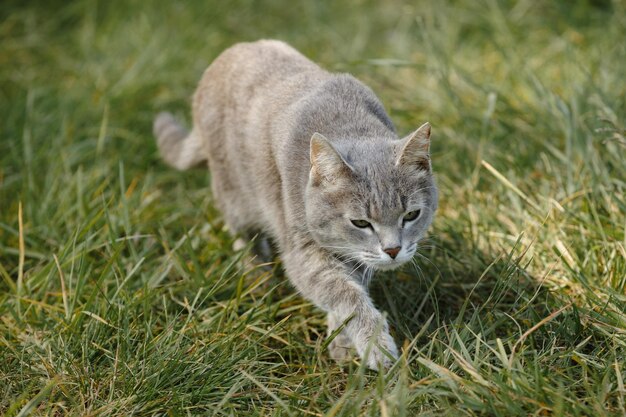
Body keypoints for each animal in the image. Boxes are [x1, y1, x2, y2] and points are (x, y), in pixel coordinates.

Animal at [154, 39, 436, 370]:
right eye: (361, 223)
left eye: (412, 215)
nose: (393, 250)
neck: (349, 125)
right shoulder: (302, 249)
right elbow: (344, 293)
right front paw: (374, 344)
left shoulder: (355, 255)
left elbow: (350, 286)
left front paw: (341, 342)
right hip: (235, 197)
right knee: (245, 239)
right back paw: (258, 280)